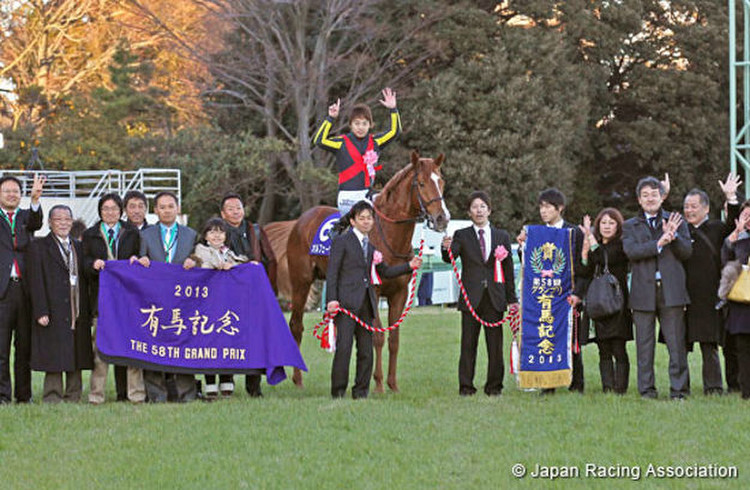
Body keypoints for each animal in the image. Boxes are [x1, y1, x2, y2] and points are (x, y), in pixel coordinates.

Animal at [288, 151, 452, 392]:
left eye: (441, 182)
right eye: (421, 183)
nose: (442, 218)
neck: (389, 236)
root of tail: (302, 220)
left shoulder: (399, 294)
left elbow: (394, 339)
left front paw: (393, 384)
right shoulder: (373, 292)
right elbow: (377, 337)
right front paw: (379, 385)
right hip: (301, 283)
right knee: (296, 326)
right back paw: (298, 379)